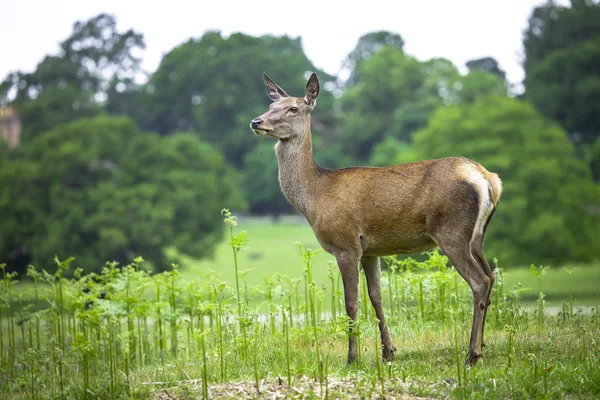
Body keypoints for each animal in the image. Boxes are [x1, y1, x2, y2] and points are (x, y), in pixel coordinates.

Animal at [248, 72, 502, 366]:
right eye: (271, 105)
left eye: (293, 108)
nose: (256, 121)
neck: (315, 197)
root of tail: (487, 179)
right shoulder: (370, 250)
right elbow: (376, 297)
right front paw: (388, 351)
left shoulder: (346, 244)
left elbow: (351, 302)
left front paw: (352, 357)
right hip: (477, 236)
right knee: (491, 276)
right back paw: (482, 345)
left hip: (452, 232)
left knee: (479, 281)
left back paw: (472, 353)